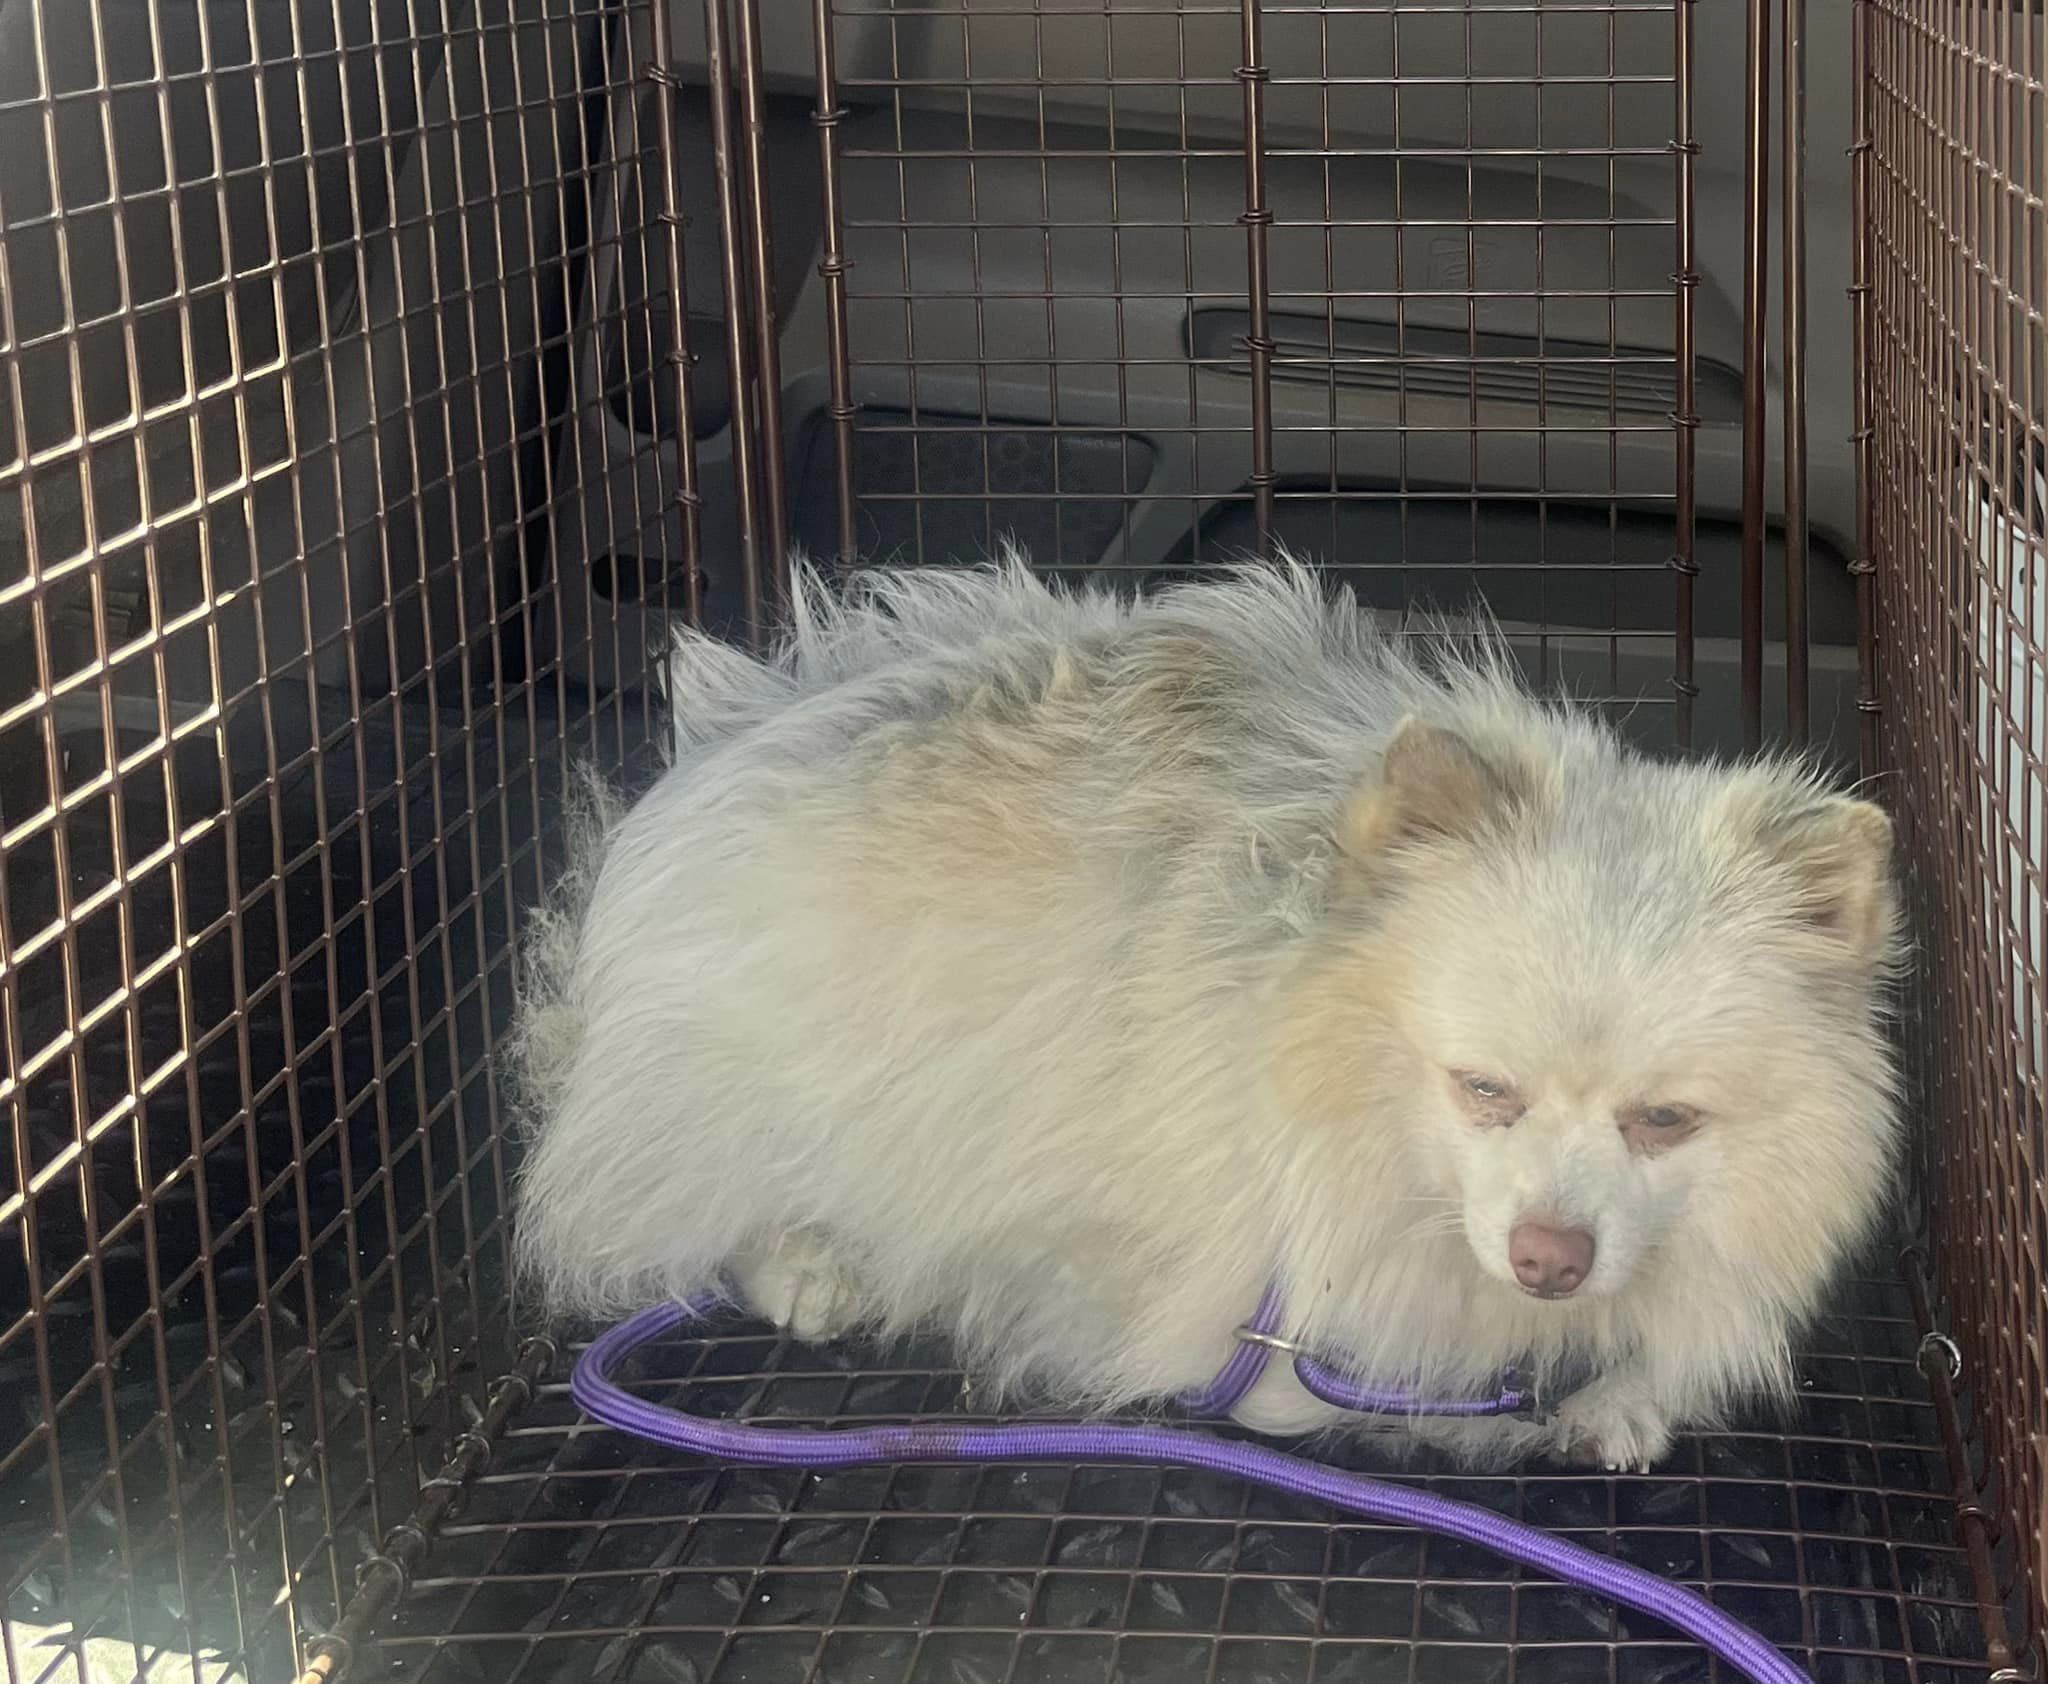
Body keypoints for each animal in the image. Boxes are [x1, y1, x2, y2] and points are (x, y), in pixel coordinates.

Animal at [512, 561, 1900, 1466]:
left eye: (1664, 1120)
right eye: (1482, 1091)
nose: (1545, 1254)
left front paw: (1619, 1390)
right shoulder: (1270, 1321)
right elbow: (1362, 1386)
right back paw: (810, 1262)